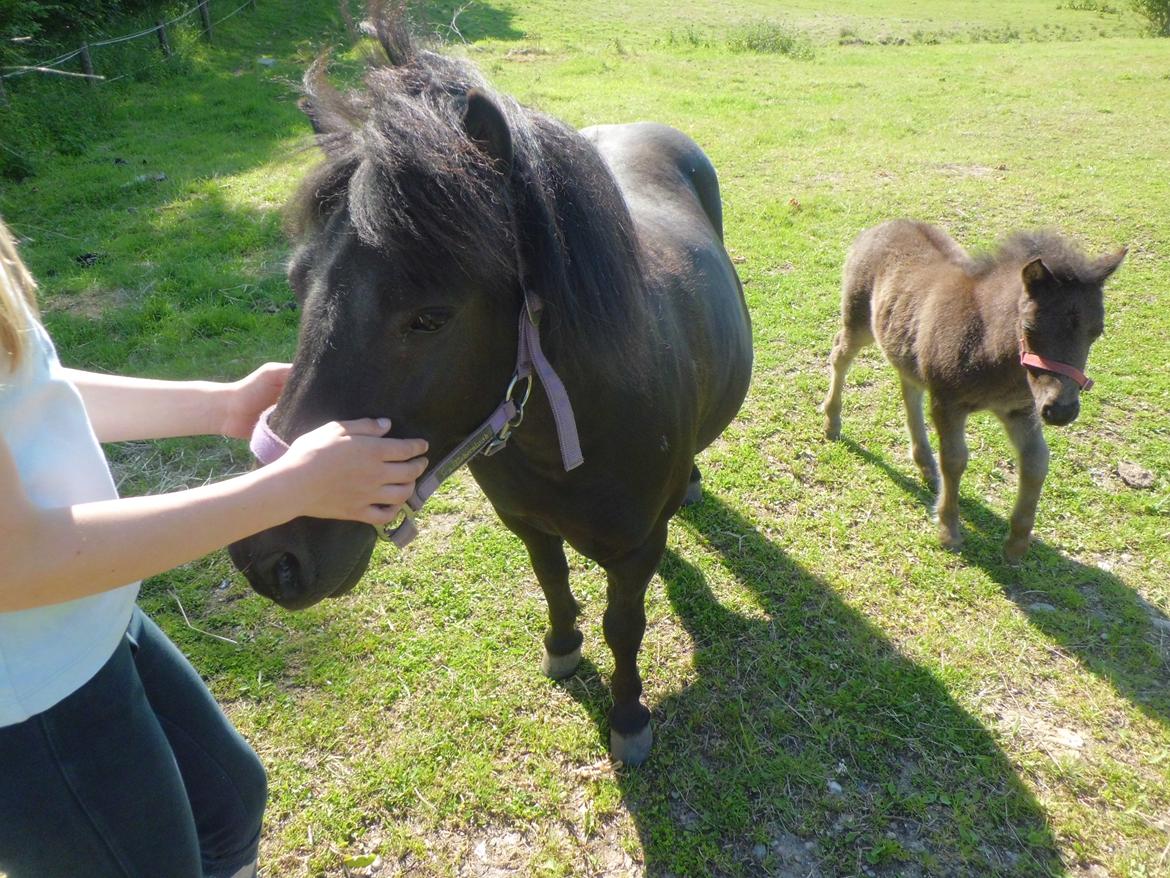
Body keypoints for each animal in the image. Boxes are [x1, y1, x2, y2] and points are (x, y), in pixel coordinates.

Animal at [230, 6, 748, 767]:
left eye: (430, 317)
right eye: (299, 284)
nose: (270, 560)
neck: (568, 435)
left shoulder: (633, 552)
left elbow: (625, 627)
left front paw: (628, 716)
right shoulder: (526, 523)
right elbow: (554, 583)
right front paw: (562, 647)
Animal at [823, 223, 1123, 559]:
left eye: (1096, 332)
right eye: (1030, 328)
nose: (1061, 411)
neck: (988, 343)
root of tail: (879, 227)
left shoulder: (1020, 410)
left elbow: (1036, 462)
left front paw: (1016, 544)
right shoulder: (948, 402)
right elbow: (955, 460)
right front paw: (949, 530)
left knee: (909, 387)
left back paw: (925, 463)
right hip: (858, 320)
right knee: (840, 355)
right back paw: (832, 423)